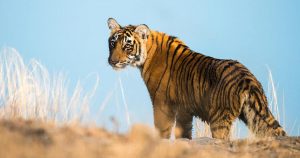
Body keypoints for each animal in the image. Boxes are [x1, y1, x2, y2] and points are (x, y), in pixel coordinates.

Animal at [105, 17, 286, 140]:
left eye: (127, 46)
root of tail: (248, 78)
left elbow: (162, 130)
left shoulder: (162, 104)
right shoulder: (185, 109)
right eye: (113, 43)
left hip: (219, 119)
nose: (112, 61)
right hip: (255, 117)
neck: (147, 54)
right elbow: (183, 133)